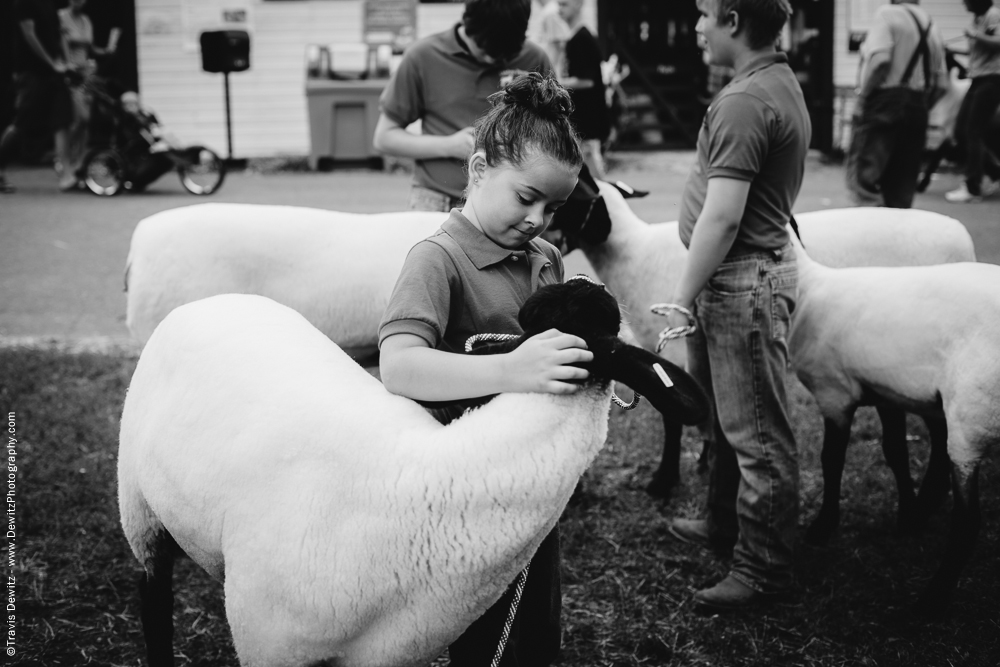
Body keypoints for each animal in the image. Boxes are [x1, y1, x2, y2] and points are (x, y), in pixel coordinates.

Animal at [119, 284, 712, 667]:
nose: (582, 286)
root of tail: (208, 301)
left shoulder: (381, 652)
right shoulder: (269, 641)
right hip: (138, 505)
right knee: (152, 592)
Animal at [552, 180, 972, 498]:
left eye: (569, 203)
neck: (633, 255)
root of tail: (962, 235)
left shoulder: (671, 347)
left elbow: (673, 417)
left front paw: (664, 480)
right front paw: (703, 461)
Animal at [788, 249, 1000, 616]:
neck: (807, 286)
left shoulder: (834, 393)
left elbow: (831, 460)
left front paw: (822, 526)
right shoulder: (888, 393)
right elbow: (895, 452)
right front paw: (908, 517)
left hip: (971, 416)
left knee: (968, 520)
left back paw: (932, 598)